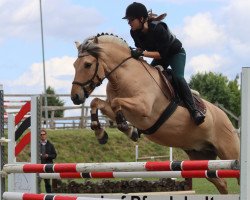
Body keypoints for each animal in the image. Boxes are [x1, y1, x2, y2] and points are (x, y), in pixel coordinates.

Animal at [71, 32, 240, 194]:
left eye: (87, 65)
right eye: (74, 65)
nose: (75, 97)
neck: (124, 76)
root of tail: (226, 117)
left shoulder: (143, 107)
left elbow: (116, 102)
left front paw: (127, 128)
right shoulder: (118, 109)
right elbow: (96, 102)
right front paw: (101, 134)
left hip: (229, 151)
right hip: (200, 156)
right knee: (221, 183)